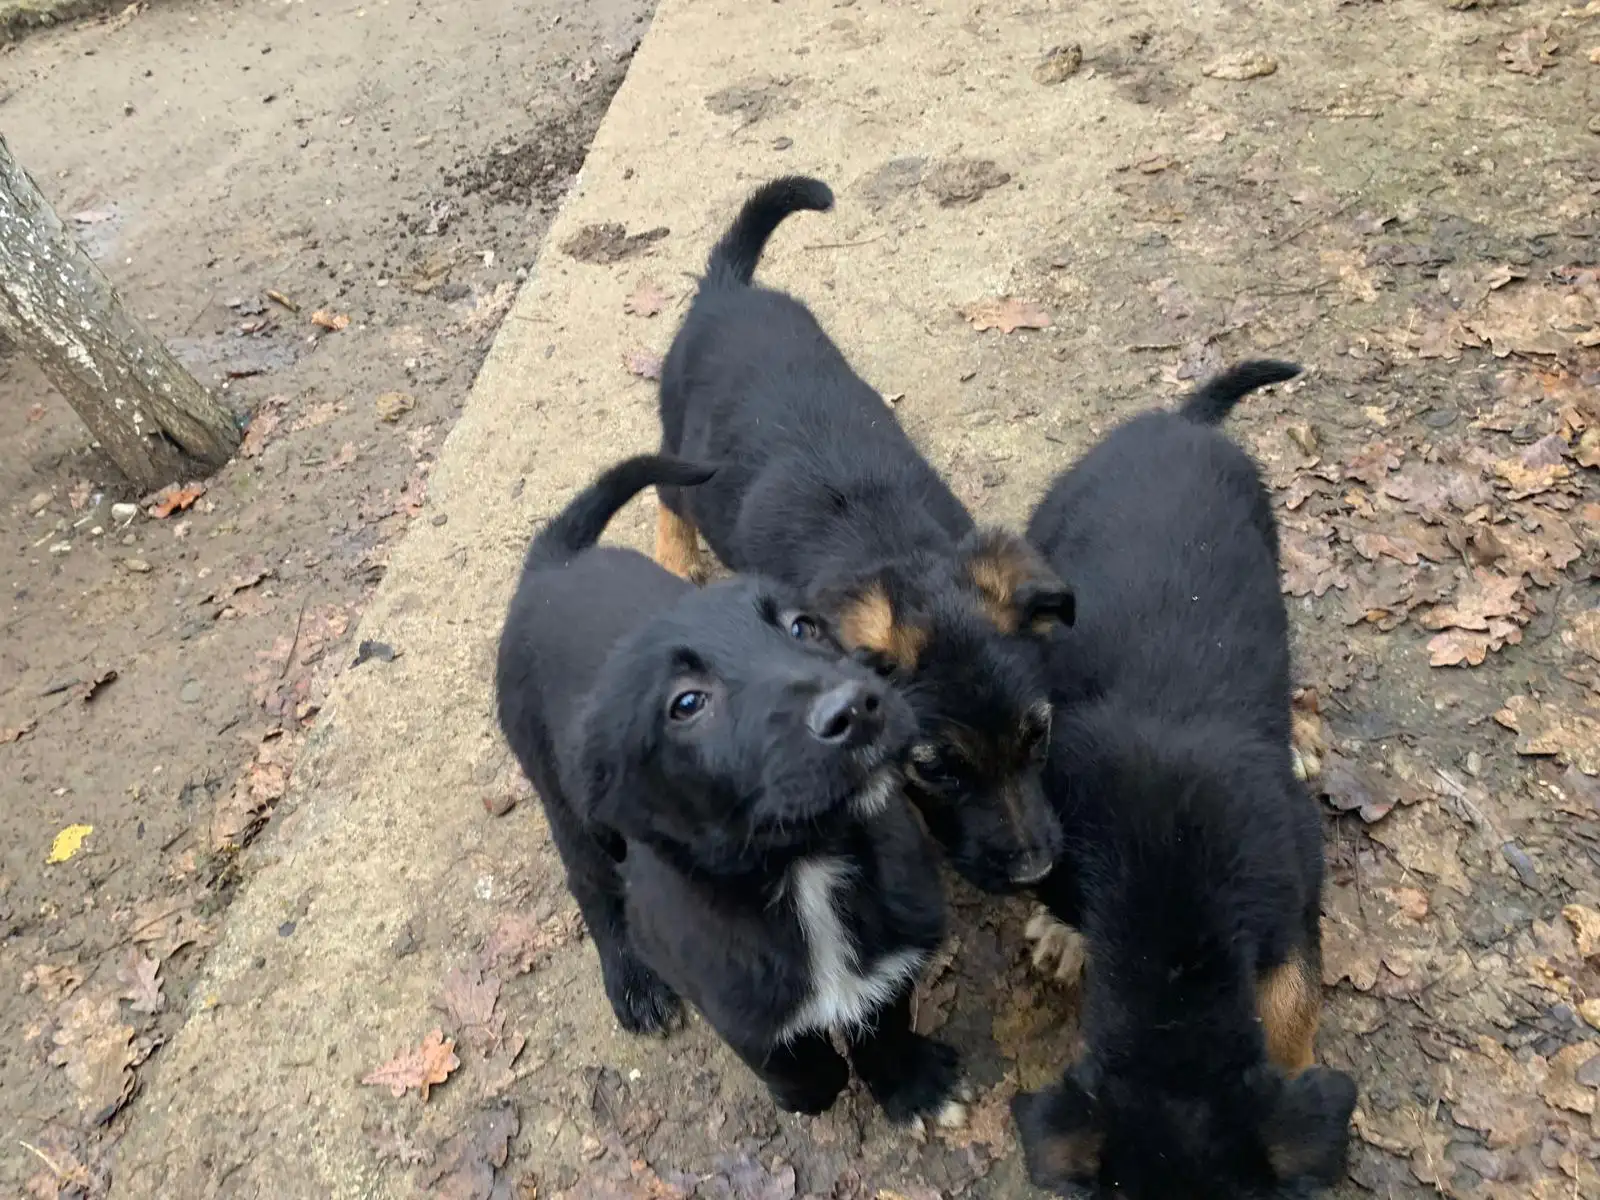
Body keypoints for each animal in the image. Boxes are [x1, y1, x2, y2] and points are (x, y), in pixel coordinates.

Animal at [495, 454, 967, 1124]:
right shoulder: (726, 996)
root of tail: (551, 564)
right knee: (589, 883)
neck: (807, 870)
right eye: (687, 704)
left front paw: (909, 1085)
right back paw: (632, 985)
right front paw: (810, 1093)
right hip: (563, 802)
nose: (858, 708)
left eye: (804, 627)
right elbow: (792, 1059)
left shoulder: (894, 948)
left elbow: (885, 1019)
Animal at [655, 175, 1072, 895]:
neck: (889, 548)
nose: (1035, 871)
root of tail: (723, 291)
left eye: (1037, 736)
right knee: (665, 494)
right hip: (685, 456)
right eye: (934, 769)